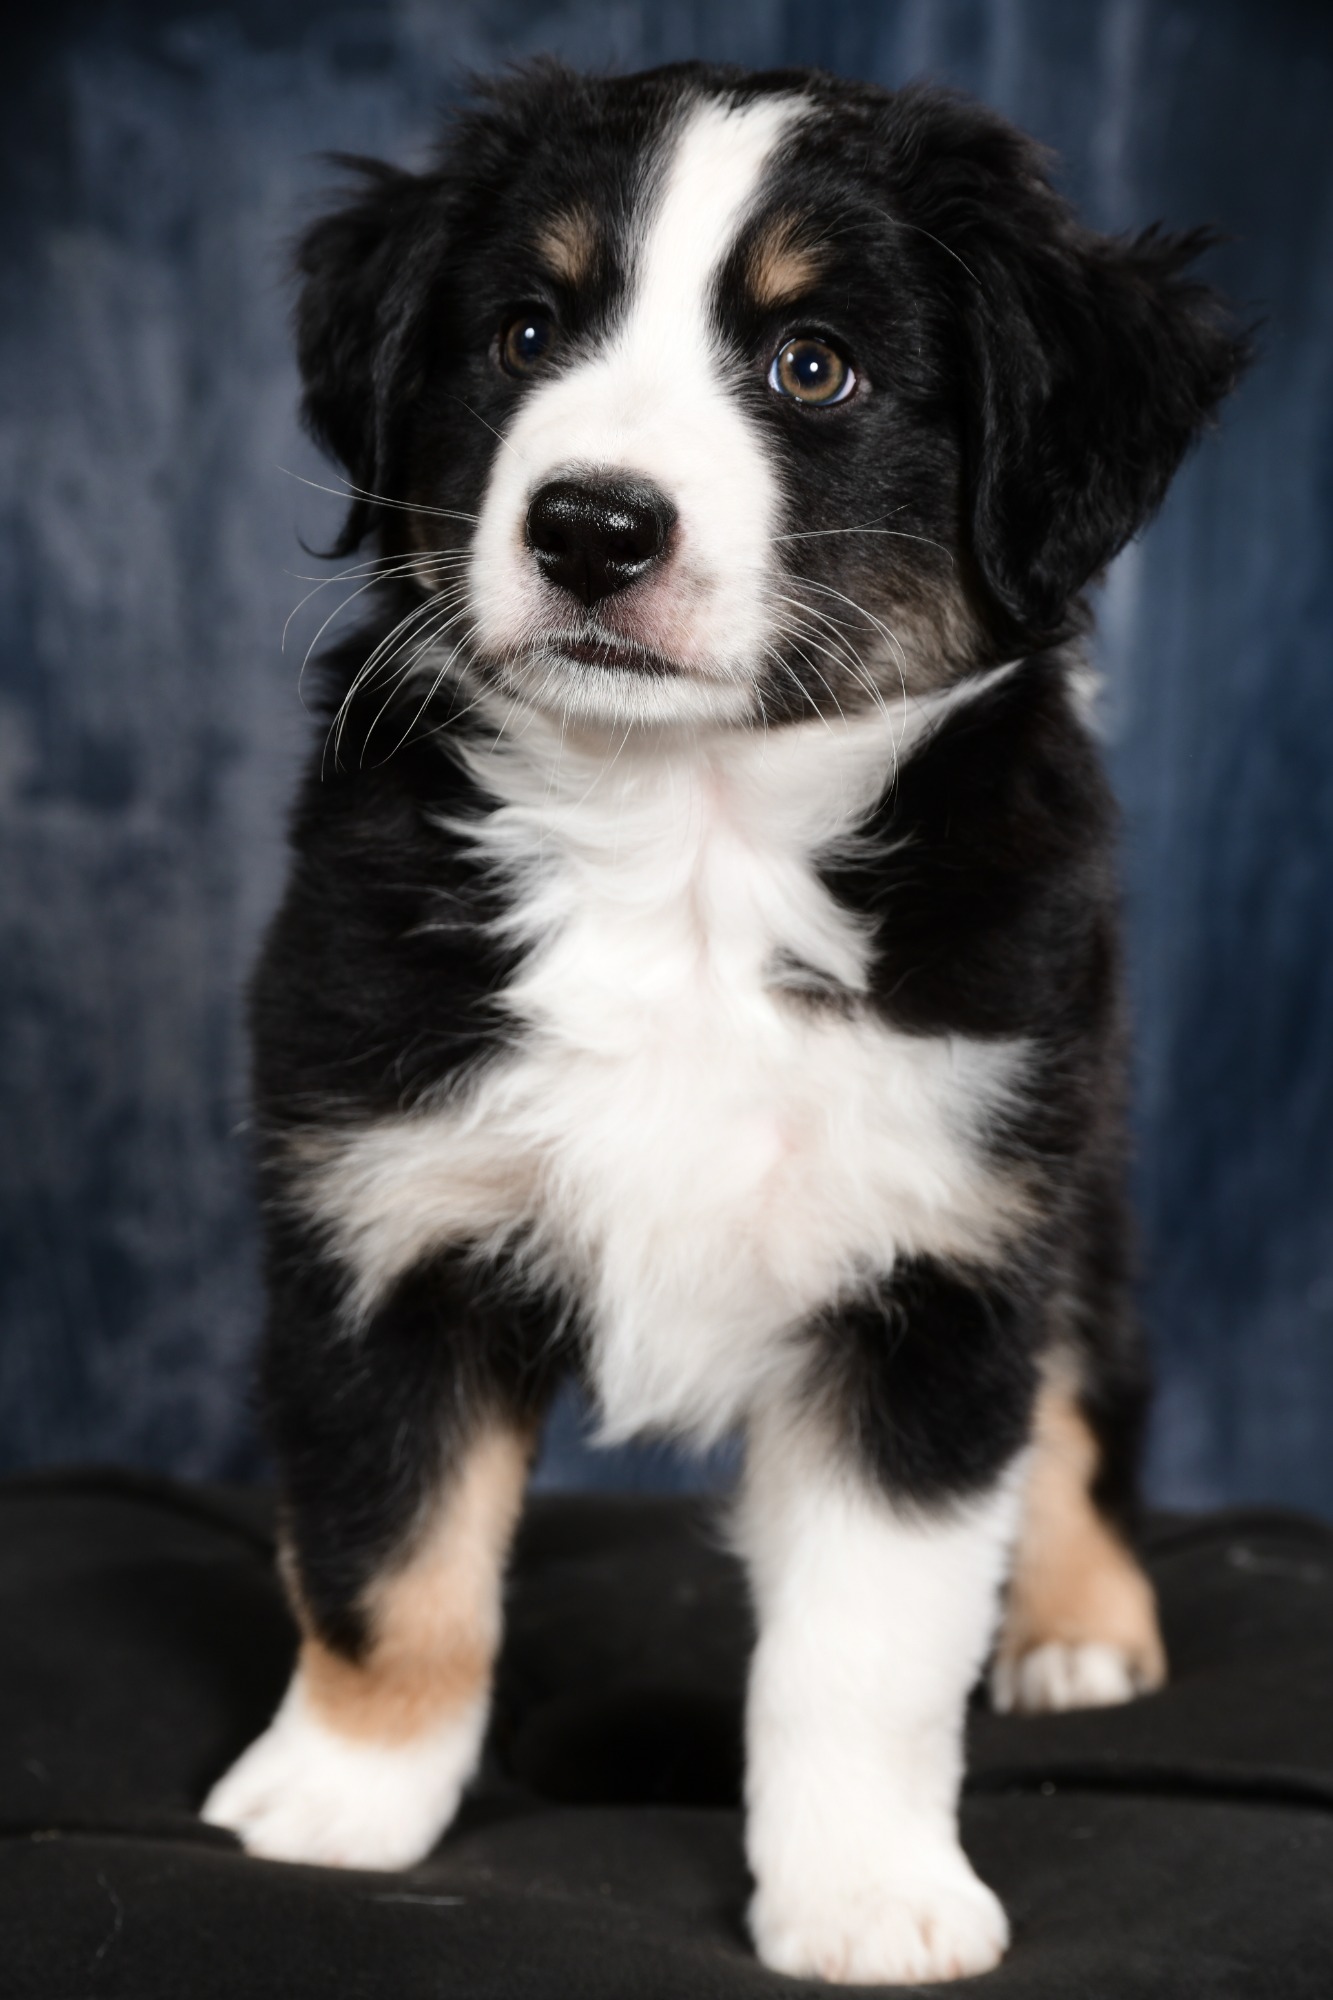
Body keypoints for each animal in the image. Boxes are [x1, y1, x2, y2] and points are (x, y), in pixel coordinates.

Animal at [202, 60, 1246, 1984]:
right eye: (527, 330)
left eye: (810, 365)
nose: (590, 523)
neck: (683, 846)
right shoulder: (377, 1212)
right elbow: (393, 1555)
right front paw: (336, 1805)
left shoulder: (936, 1261)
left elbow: (868, 1644)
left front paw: (867, 1896)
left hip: (1072, 1150)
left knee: (1083, 1390)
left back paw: (1077, 1625)